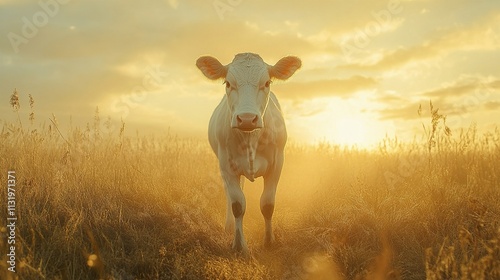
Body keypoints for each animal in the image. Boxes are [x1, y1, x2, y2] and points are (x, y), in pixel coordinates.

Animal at [196, 52, 300, 254]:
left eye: (266, 83)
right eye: (228, 83)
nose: (246, 119)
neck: (250, 137)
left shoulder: (277, 164)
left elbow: (267, 204)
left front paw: (269, 241)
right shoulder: (226, 166)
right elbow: (237, 205)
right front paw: (239, 245)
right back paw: (229, 226)